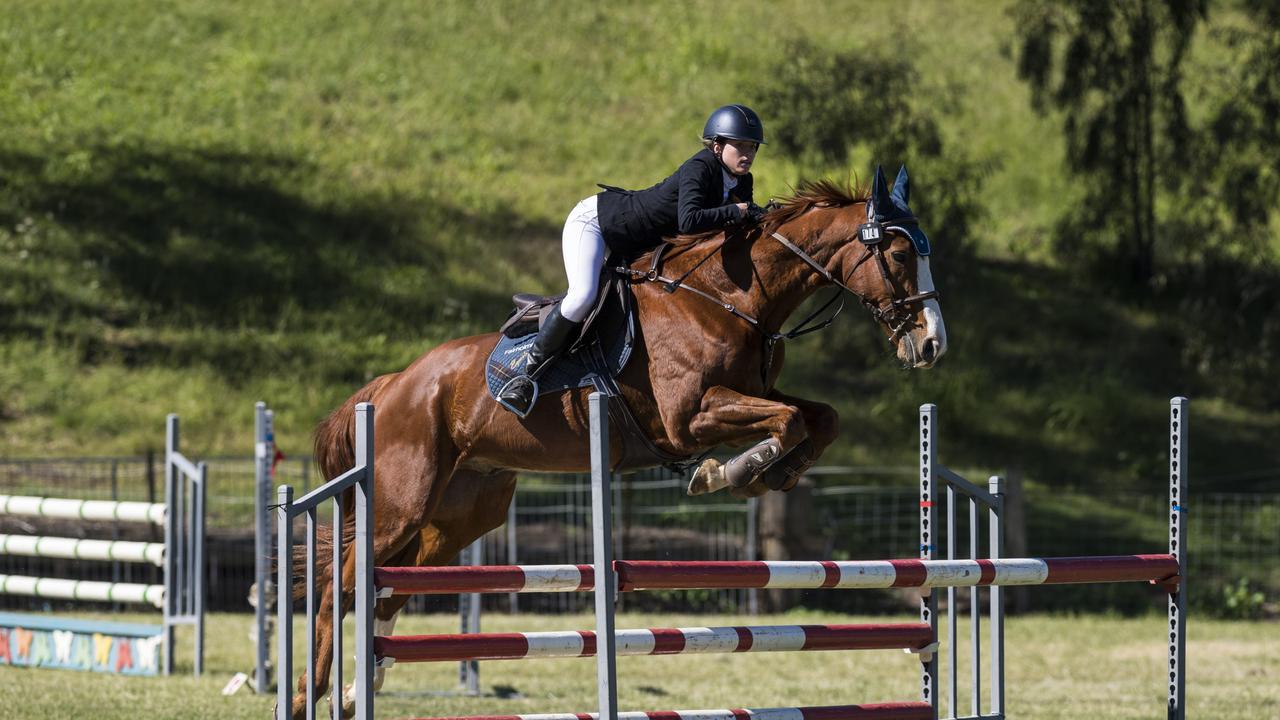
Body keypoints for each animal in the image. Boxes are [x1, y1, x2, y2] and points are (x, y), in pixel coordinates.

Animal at [293, 166, 952, 712]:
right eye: (899, 252)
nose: (930, 345)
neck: (731, 297)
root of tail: (394, 384)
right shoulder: (690, 417)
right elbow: (786, 422)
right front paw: (731, 473)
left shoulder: (751, 394)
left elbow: (821, 417)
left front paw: (779, 472)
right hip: (403, 501)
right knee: (341, 583)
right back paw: (312, 690)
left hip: (463, 512)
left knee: (387, 587)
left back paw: (359, 686)